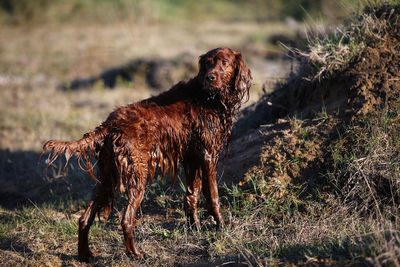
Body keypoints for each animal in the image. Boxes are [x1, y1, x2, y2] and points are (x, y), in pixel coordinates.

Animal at [42, 48, 252, 262]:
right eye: (208, 63)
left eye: (224, 62)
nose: (210, 77)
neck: (209, 97)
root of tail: (110, 124)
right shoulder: (208, 156)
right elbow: (212, 195)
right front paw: (222, 225)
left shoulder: (192, 158)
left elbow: (192, 195)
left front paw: (195, 228)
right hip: (138, 175)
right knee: (126, 219)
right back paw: (135, 253)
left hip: (107, 176)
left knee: (84, 218)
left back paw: (85, 254)